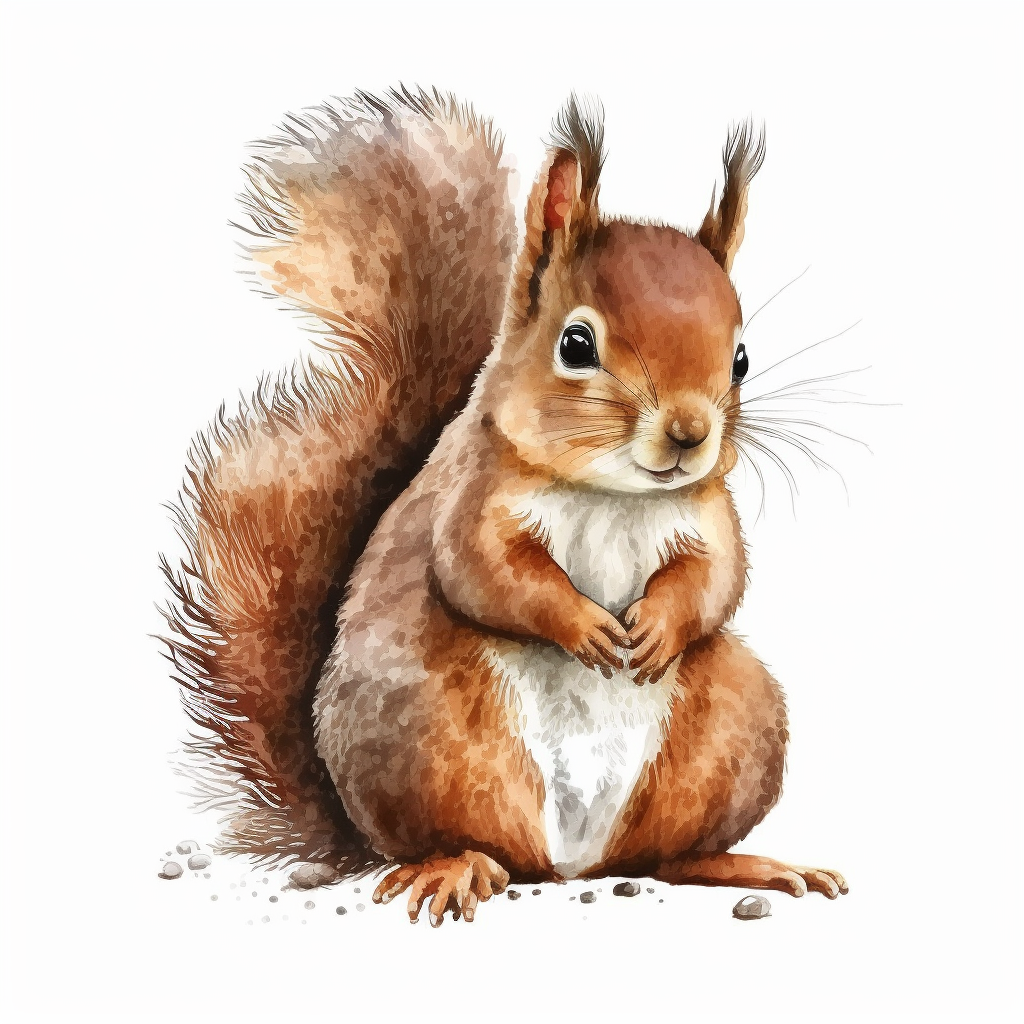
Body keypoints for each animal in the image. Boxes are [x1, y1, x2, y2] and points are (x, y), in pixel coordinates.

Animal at [160, 85, 847, 925]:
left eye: (742, 359)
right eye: (576, 345)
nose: (690, 434)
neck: (612, 491)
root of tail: (575, 861)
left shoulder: (709, 519)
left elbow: (716, 583)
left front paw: (655, 627)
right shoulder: (473, 500)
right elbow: (487, 574)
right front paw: (586, 626)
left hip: (733, 725)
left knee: (666, 855)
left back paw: (747, 864)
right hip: (433, 741)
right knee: (471, 843)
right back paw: (454, 867)